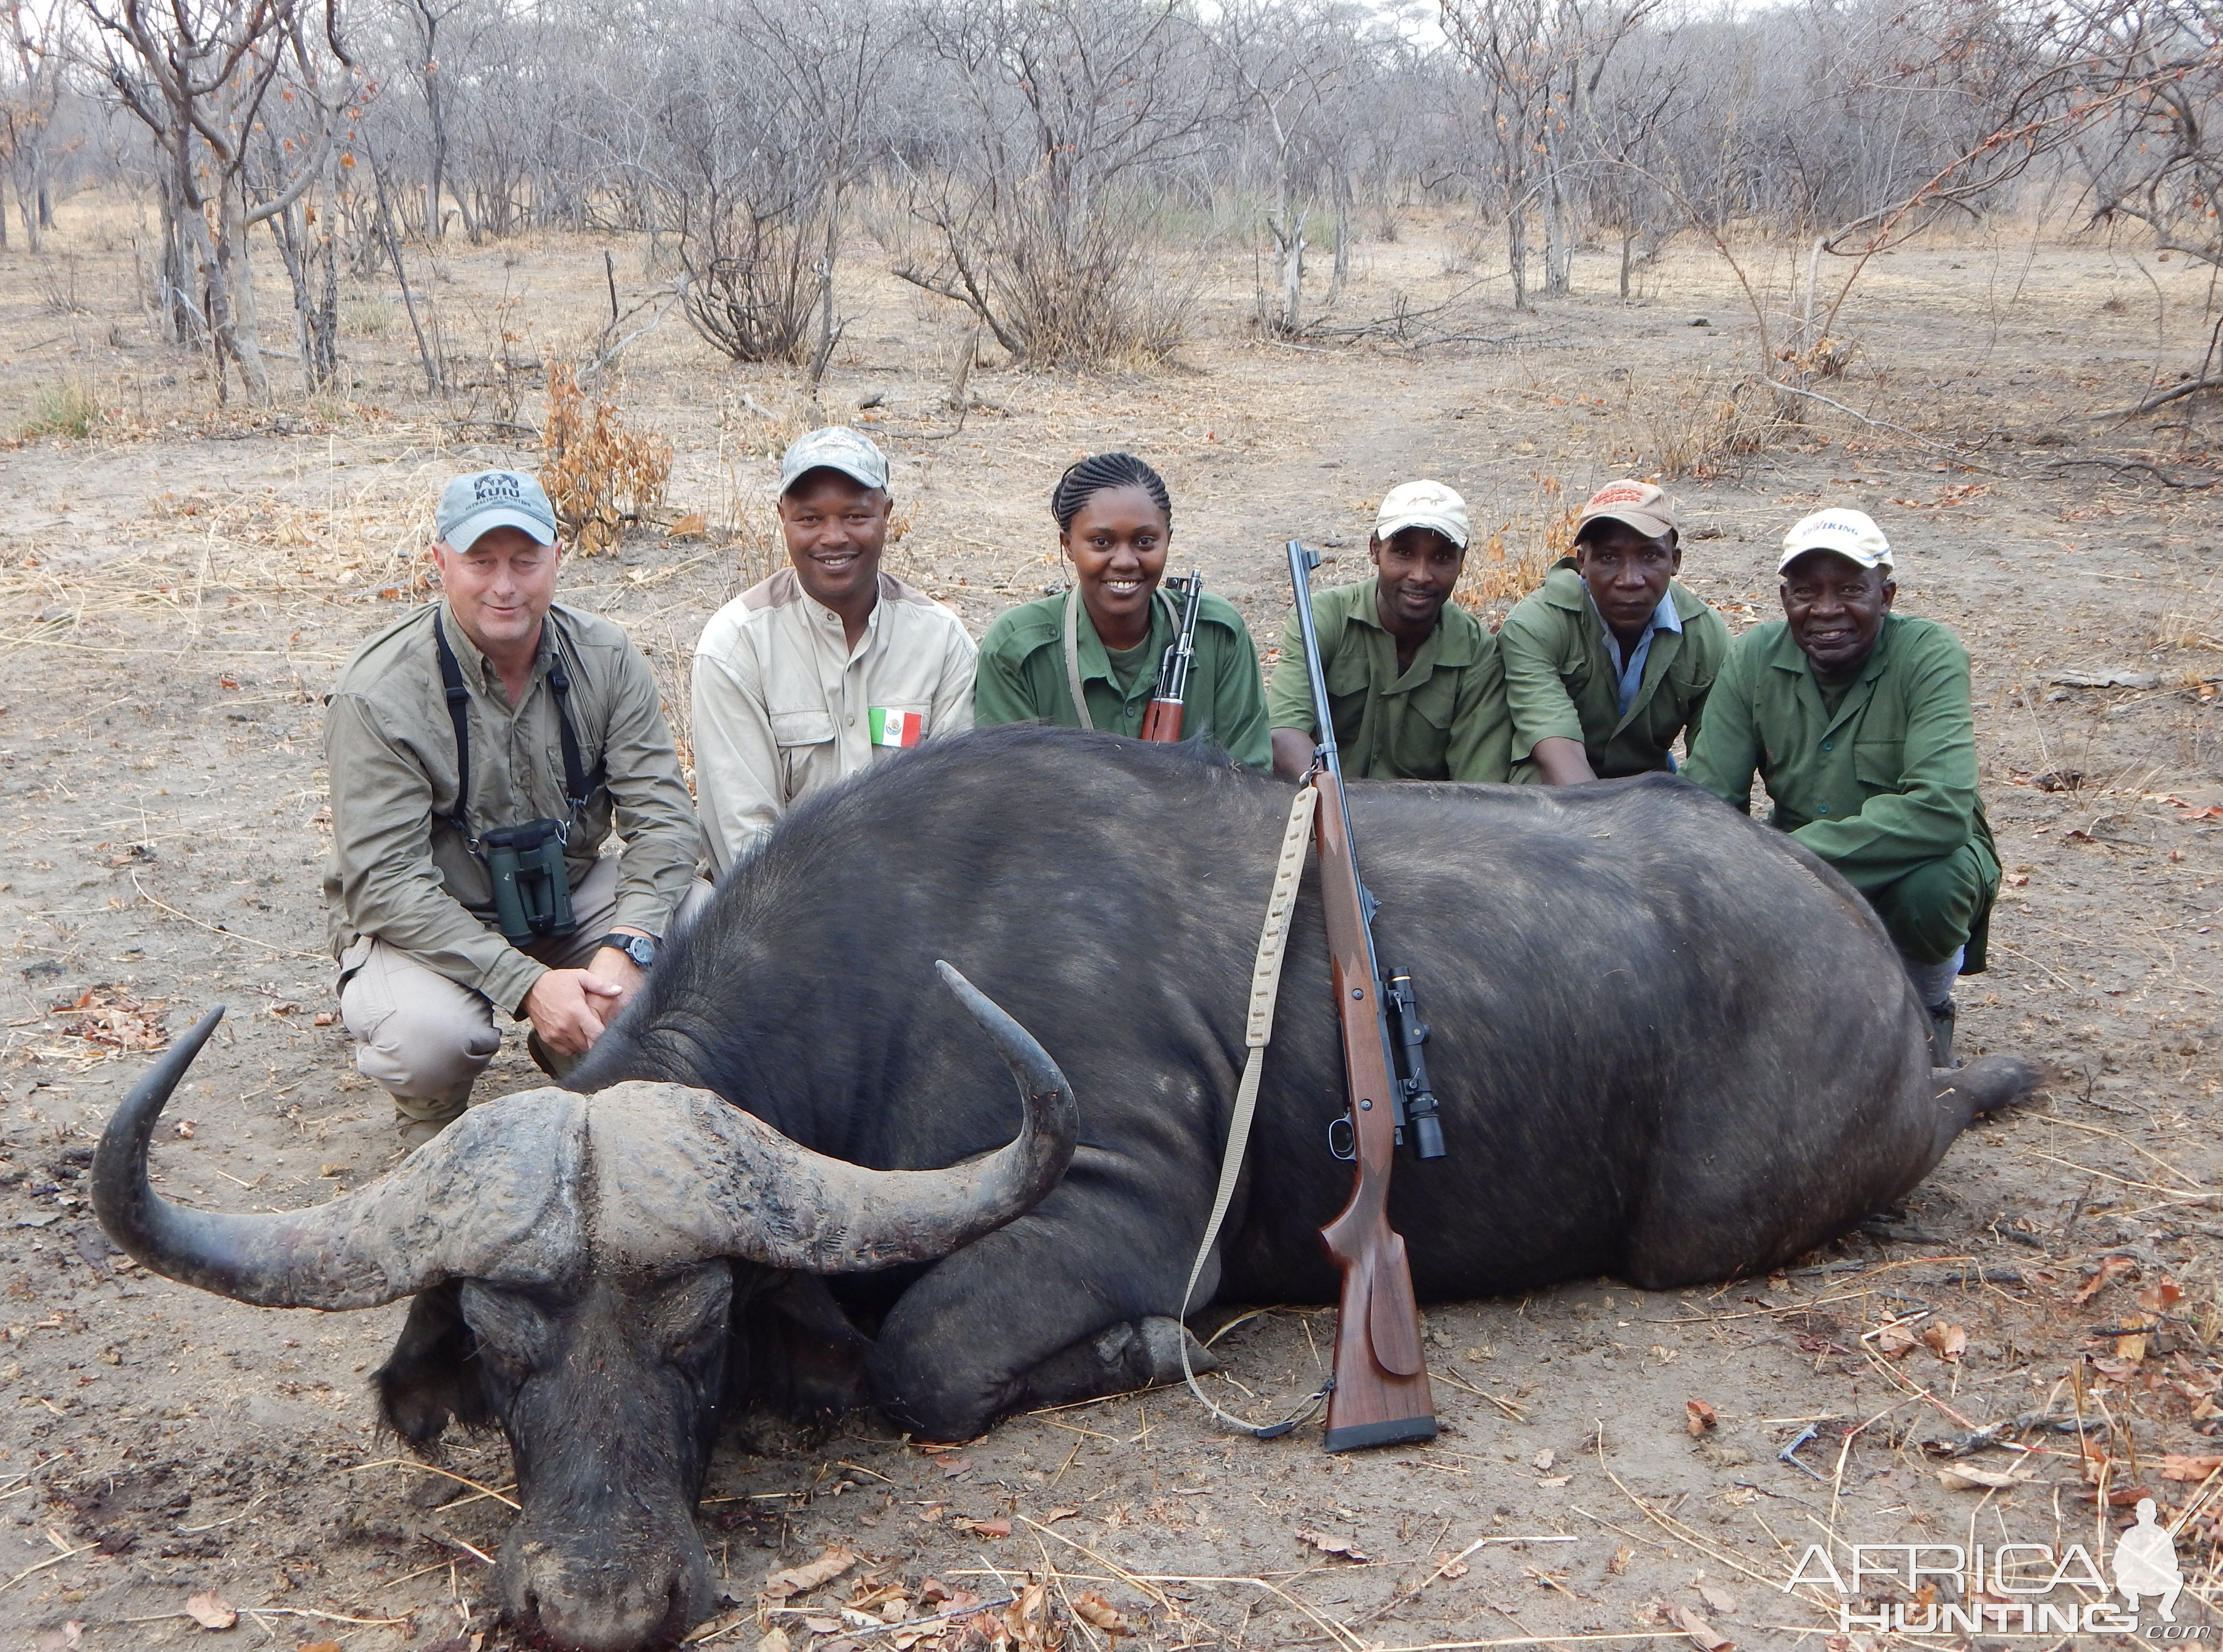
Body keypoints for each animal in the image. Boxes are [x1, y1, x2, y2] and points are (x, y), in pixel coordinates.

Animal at [96, 729, 2036, 1652]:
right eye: (502, 1350)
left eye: (698, 1329)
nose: (596, 1601)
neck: (880, 981)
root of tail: (1872, 965)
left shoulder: (1119, 1217)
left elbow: (925, 1359)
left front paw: (1141, 1356)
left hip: (1716, 1227)